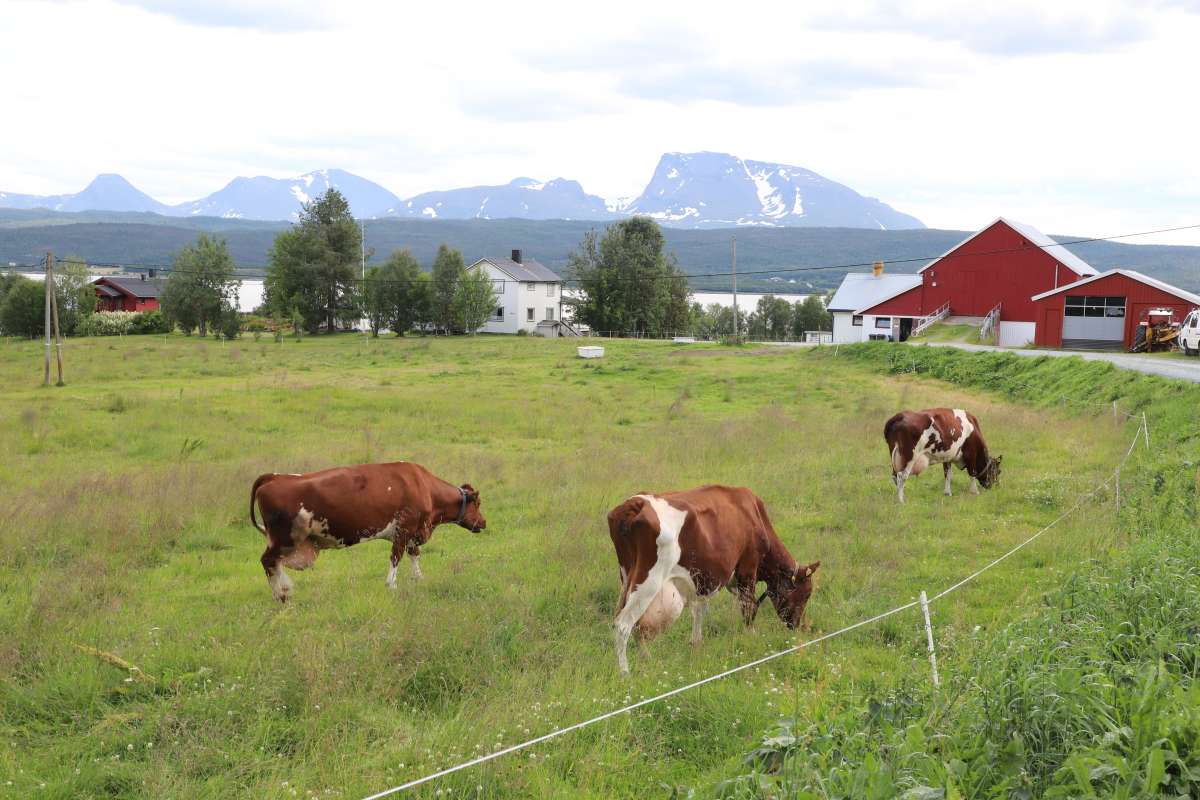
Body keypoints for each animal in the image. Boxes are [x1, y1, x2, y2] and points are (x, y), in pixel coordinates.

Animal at [250, 462, 484, 599]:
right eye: (478, 504)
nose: (483, 522)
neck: (423, 486)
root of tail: (274, 476)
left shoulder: (411, 532)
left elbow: (413, 554)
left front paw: (419, 579)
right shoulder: (403, 529)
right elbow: (396, 557)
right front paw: (391, 585)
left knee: (275, 563)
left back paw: (285, 589)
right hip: (284, 538)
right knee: (267, 561)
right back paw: (281, 594)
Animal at [609, 484, 816, 671]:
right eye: (807, 594)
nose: (797, 626)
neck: (754, 515)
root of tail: (636, 503)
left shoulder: (703, 580)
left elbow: (699, 610)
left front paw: (696, 647)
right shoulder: (748, 567)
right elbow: (749, 608)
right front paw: (751, 637)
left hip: (626, 578)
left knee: (634, 625)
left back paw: (648, 660)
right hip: (649, 581)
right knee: (624, 624)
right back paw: (625, 673)